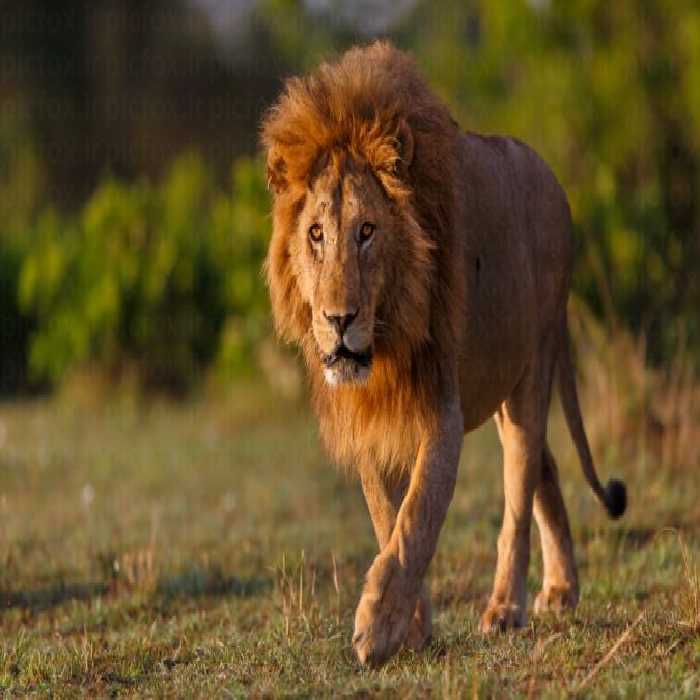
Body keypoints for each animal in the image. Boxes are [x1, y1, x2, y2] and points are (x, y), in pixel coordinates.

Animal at [261, 41, 626, 667]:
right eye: (315, 234)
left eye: (367, 231)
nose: (338, 320)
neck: (384, 345)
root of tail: (554, 181)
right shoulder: (369, 419)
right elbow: (387, 518)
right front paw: (409, 626)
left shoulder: (442, 409)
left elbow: (417, 517)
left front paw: (378, 625)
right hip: (503, 387)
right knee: (546, 467)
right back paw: (561, 587)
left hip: (533, 366)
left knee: (518, 493)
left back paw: (506, 607)